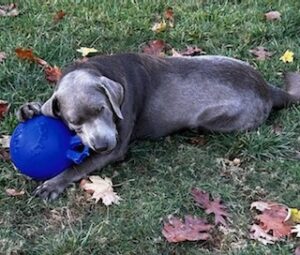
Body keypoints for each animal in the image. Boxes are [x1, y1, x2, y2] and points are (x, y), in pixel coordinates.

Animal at [17, 53, 300, 199]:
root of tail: (269, 89)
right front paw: (29, 109)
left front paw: (52, 184)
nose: (102, 145)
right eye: (74, 123)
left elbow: (79, 166)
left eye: (102, 109)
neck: (101, 69)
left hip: (213, 118)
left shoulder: (117, 144)